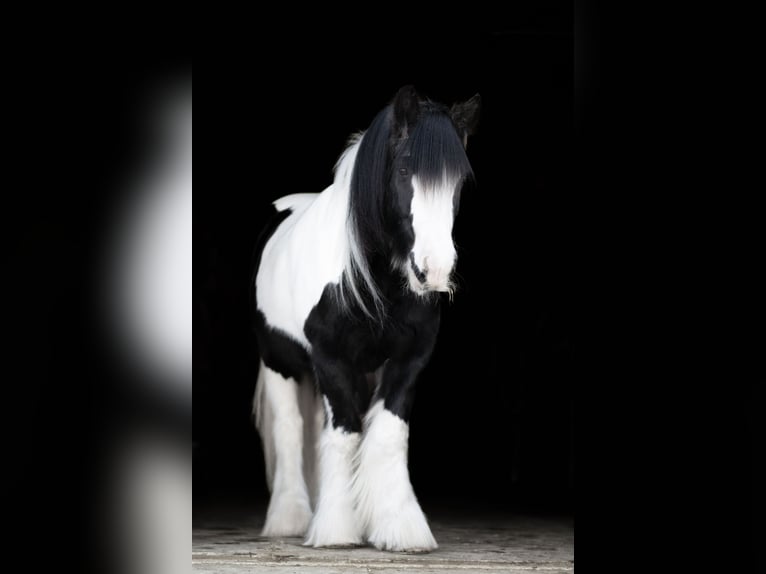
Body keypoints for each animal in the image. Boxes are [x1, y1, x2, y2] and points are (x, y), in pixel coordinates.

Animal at [251, 85, 480, 551]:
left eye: (459, 181)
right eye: (406, 168)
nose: (435, 270)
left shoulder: (410, 359)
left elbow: (388, 434)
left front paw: (400, 527)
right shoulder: (330, 358)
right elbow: (344, 433)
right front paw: (338, 529)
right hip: (279, 359)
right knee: (289, 428)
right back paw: (290, 518)